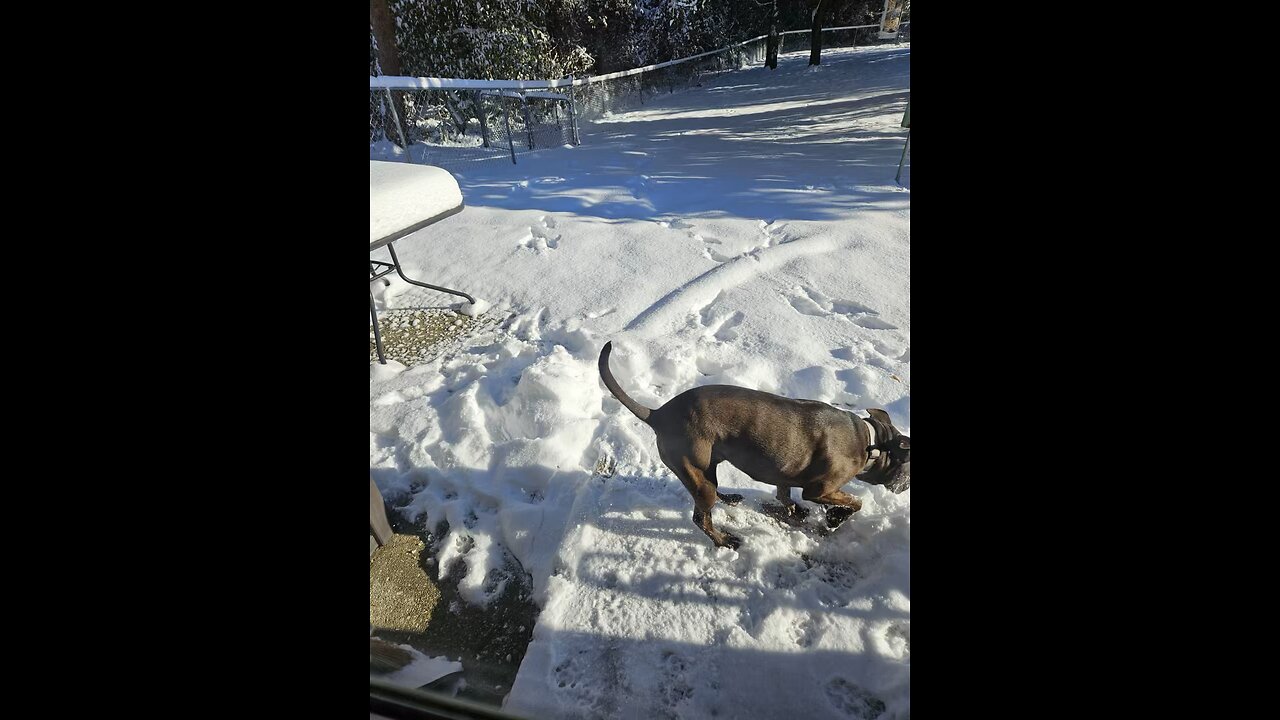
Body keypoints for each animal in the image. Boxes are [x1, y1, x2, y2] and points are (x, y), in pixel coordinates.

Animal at [599, 338, 911, 545]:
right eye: (909, 468)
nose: (905, 486)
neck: (870, 440)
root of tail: (659, 413)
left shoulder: (786, 473)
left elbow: (785, 495)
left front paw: (797, 512)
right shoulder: (820, 488)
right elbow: (855, 501)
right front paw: (834, 518)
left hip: (706, 468)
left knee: (710, 495)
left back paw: (731, 499)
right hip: (695, 470)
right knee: (701, 517)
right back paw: (724, 541)